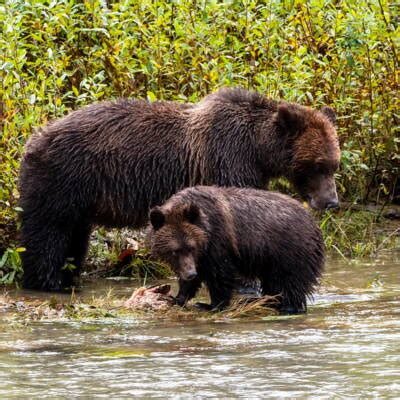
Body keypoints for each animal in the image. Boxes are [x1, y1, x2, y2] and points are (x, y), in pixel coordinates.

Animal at [18, 86, 338, 290]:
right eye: (318, 165)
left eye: (335, 164)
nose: (331, 201)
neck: (258, 149)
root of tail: (33, 139)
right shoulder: (226, 160)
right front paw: (247, 282)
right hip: (61, 179)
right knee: (47, 233)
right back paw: (47, 282)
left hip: (80, 197)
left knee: (74, 237)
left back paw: (68, 279)